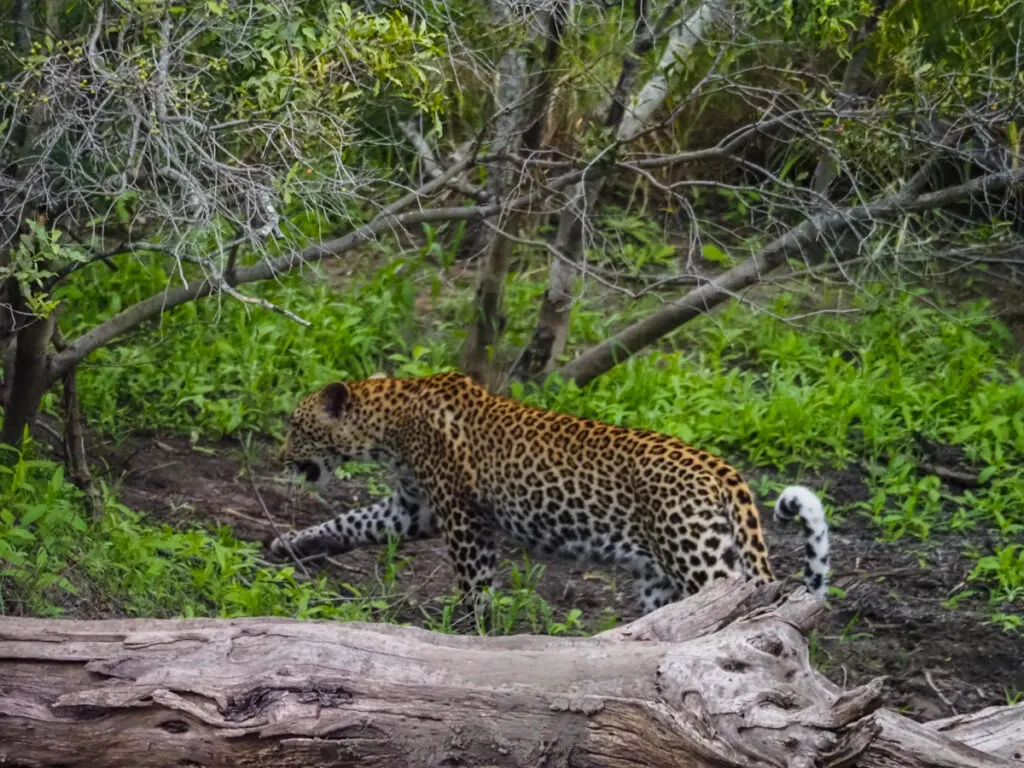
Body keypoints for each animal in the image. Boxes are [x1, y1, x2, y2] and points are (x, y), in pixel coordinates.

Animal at [272, 370, 831, 618]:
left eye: (295, 427)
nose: (279, 456)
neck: (390, 421)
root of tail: (720, 467)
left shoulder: (463, 518)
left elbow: (475, 585)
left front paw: (470, 632)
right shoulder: (415, 509)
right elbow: (349, 522)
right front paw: (291, 544)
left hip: (701, 560)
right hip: (662, 574)